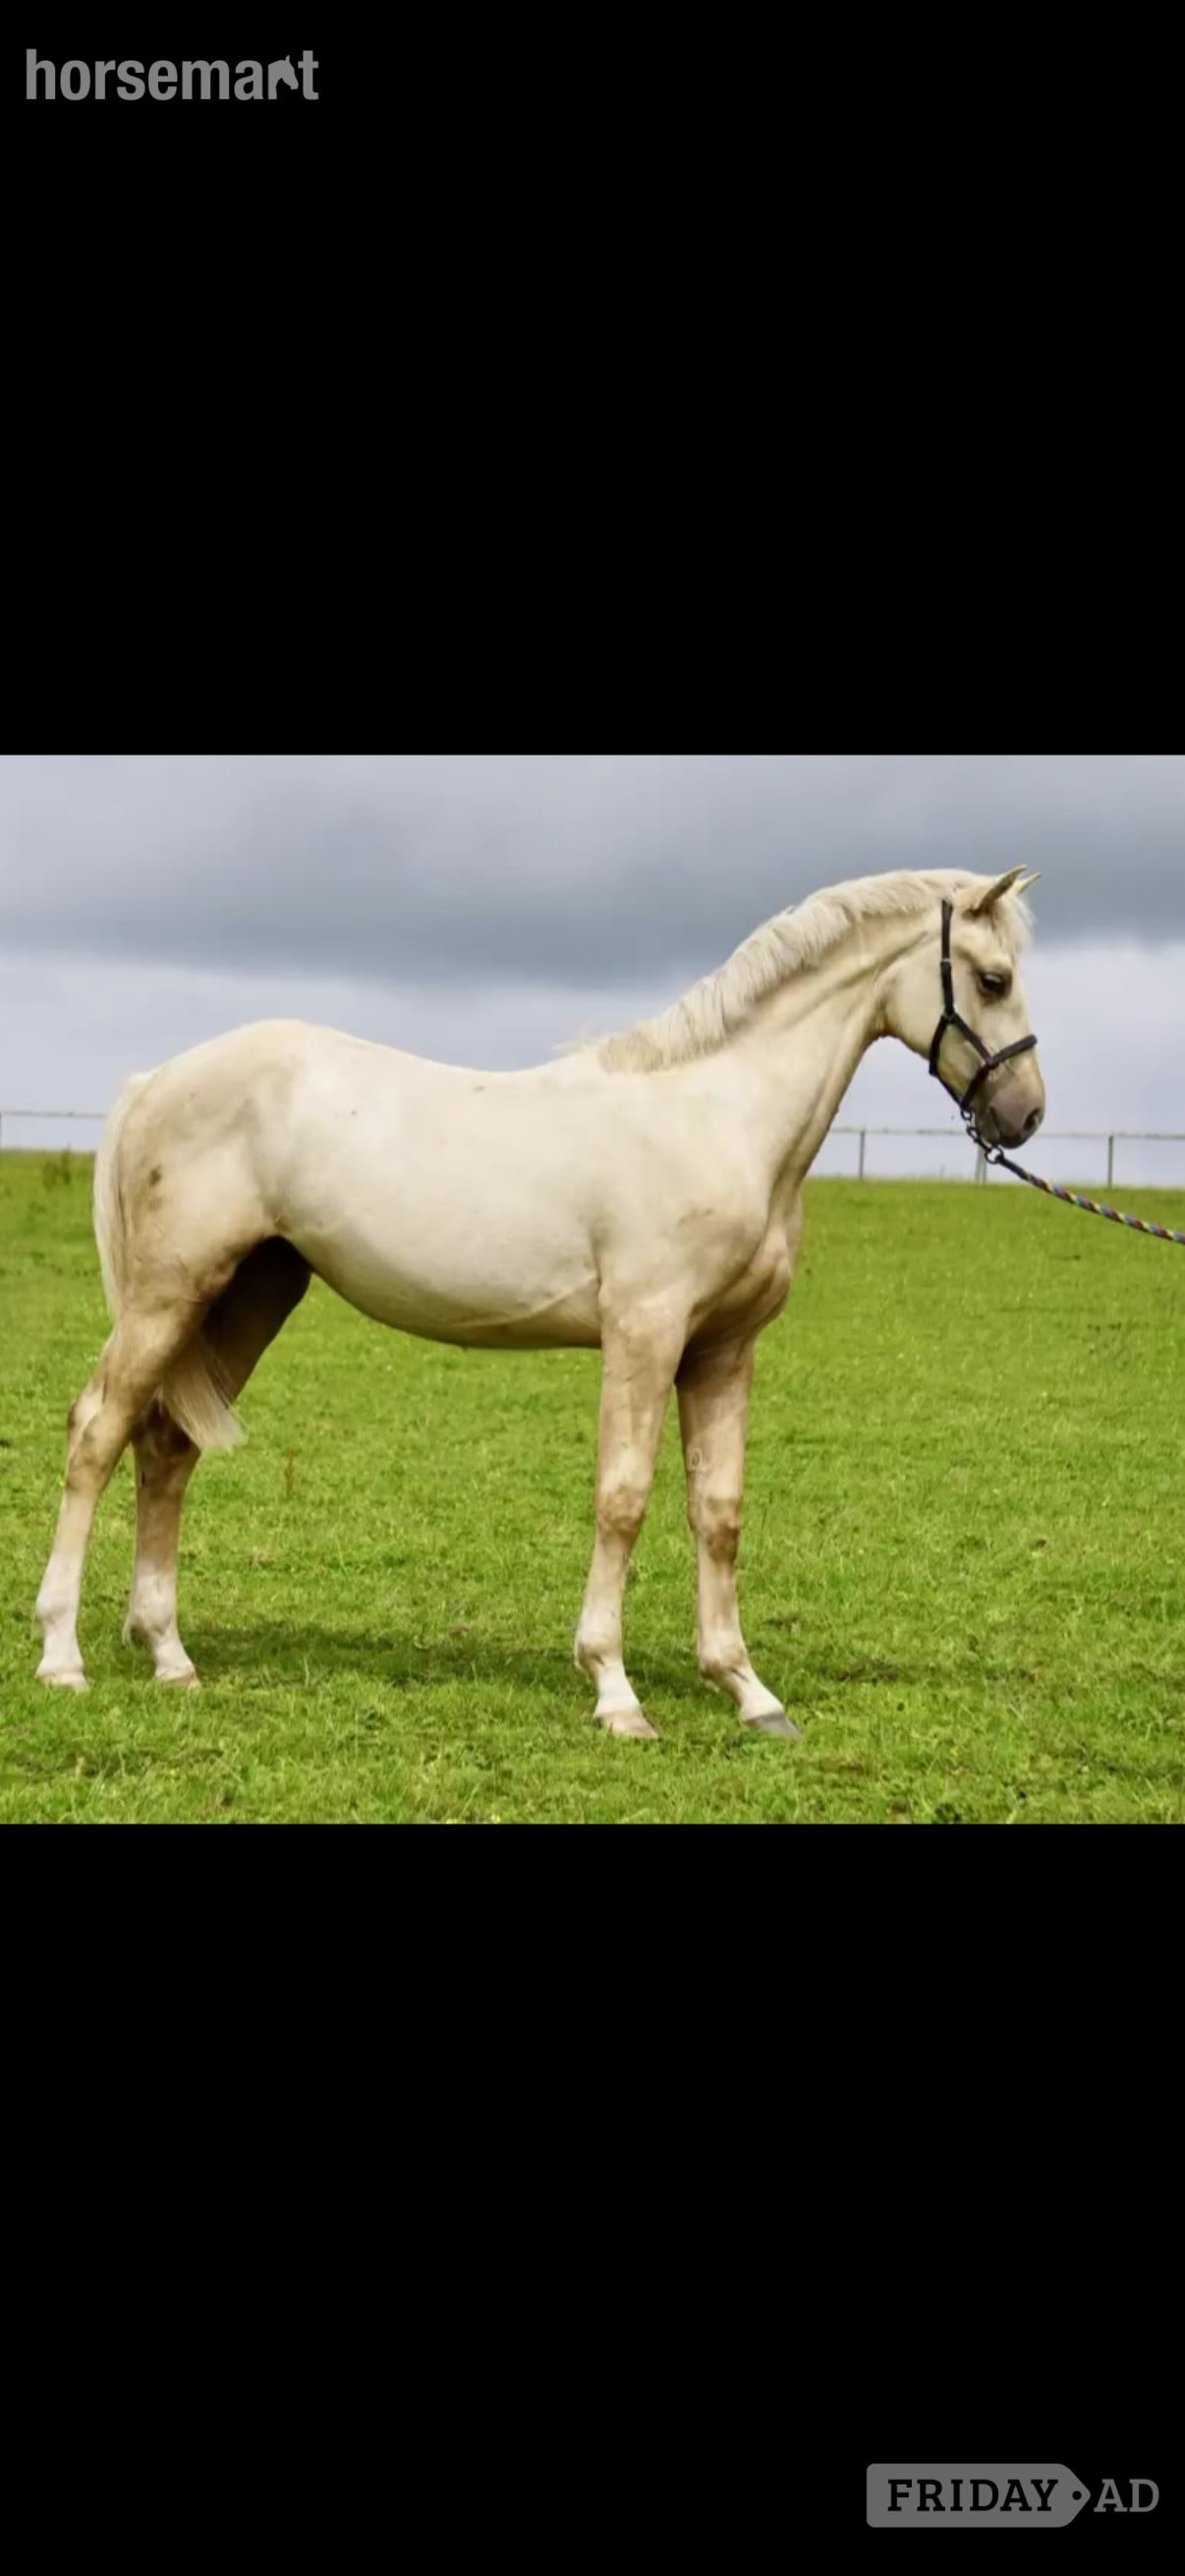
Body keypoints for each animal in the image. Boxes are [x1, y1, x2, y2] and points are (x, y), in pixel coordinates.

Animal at [33, 864, 1045, 1735]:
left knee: (166, 1448)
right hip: (171, 1294)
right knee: (97, 1432)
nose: (1025, 1114)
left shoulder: (723, 1350)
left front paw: (748, 1691)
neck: (715, 1115)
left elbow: (718, 1511)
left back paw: (170, 1657)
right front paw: (615, 1692)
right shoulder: (645, 1334)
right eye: (992, 979)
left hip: (248, 1298)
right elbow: (623, 1498)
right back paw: (62, 1657)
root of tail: (156, 1081)